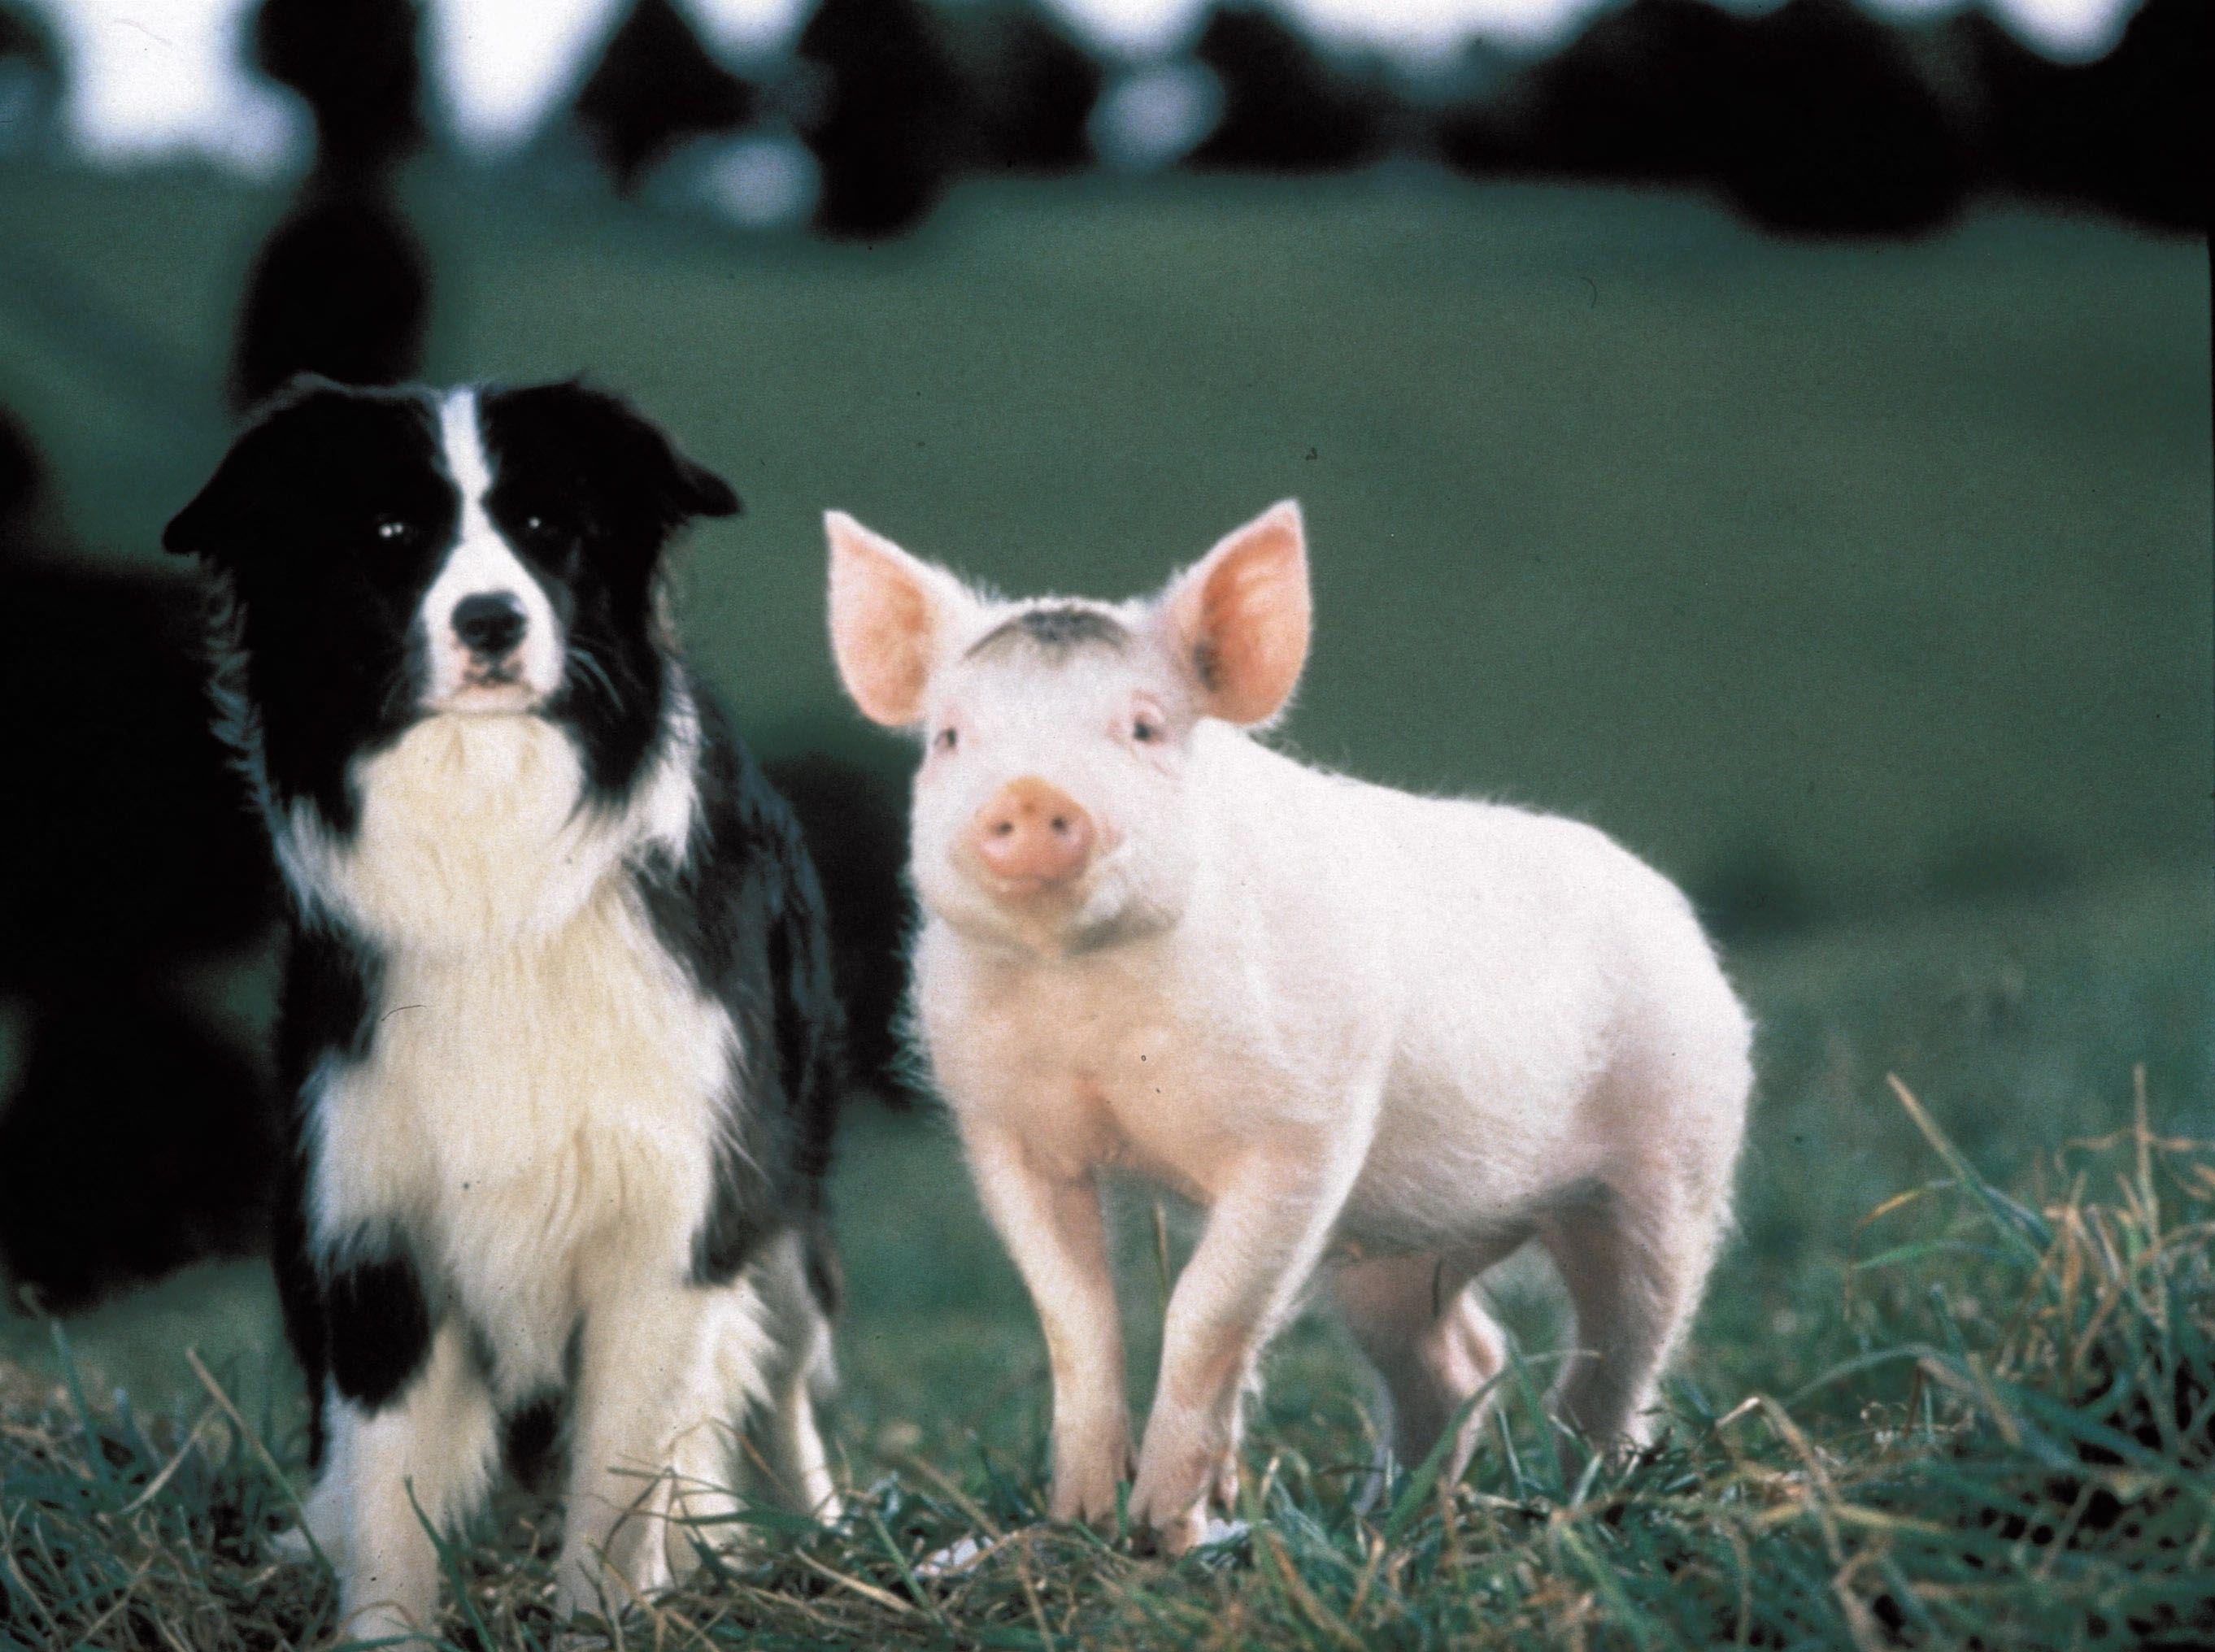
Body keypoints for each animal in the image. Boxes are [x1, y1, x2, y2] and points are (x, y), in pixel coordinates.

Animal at [824, 501, 1752, 1552]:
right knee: (1461, 1360)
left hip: (1676, 1159)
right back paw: (1386, 1525)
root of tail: (1679, 921)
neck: (1091, 1004)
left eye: (1144, 726)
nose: (1028, 793)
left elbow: (1206, 1307)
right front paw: (1086, 1517)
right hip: (1397, 1249)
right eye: (949, 735)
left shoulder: (1306, 1132)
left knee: (1616, 1357)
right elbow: (1074, 1313)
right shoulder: (1008, 1128)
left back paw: (1584, 1504)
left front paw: (1164, 1531)